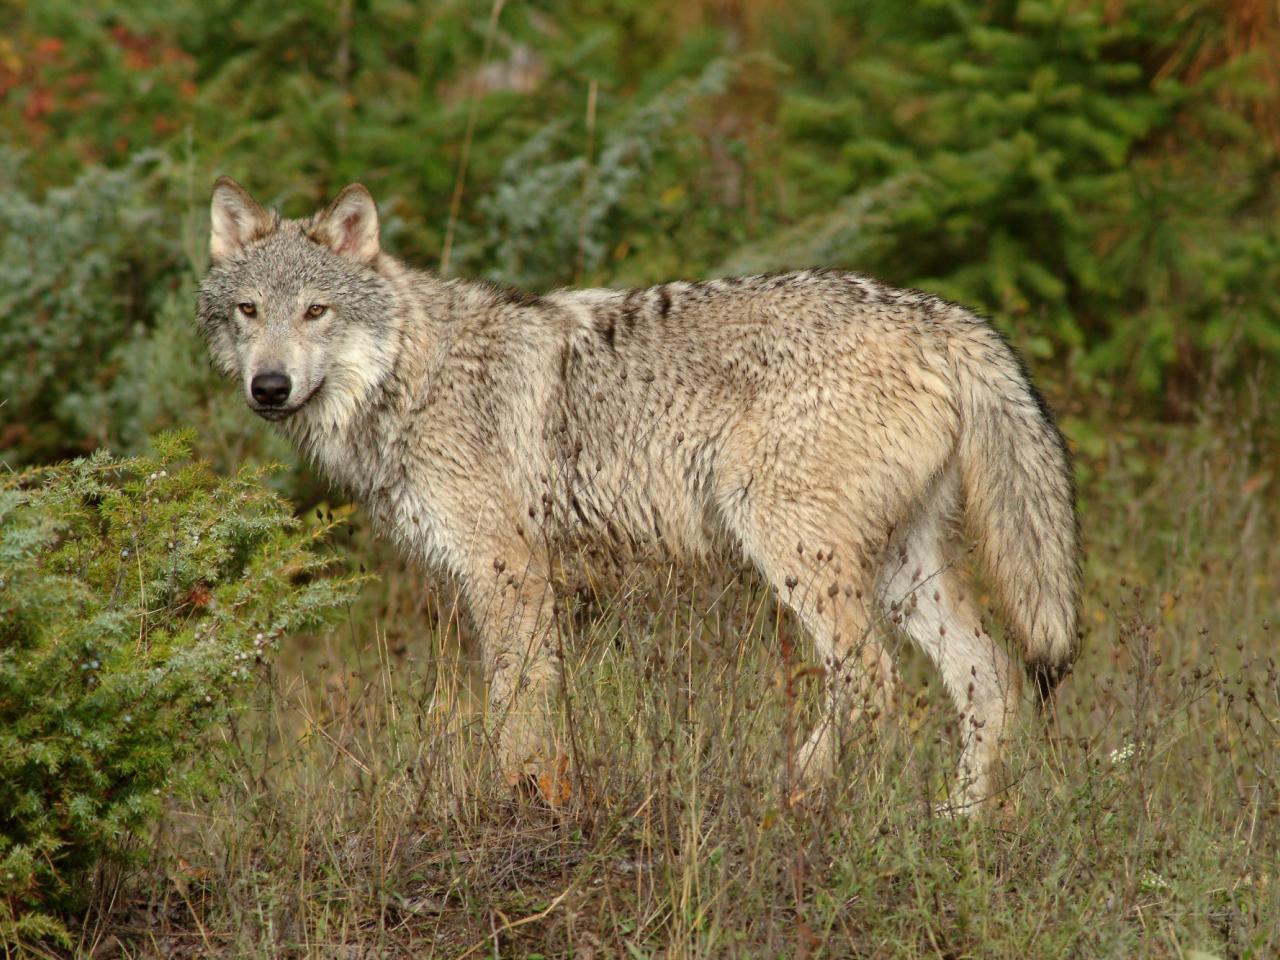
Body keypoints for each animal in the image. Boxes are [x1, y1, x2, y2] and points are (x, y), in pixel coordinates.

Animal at [197, 179, 1080, 814]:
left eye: (317, 311)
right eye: (249, 312)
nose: (268, 387)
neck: (413, 376)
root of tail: (942, 315)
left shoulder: (509, 574)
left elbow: (514, 714)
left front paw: (519, 808)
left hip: (794, 550)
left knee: (871, 680)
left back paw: (799, 790)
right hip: (902, 573)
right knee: (991, 680)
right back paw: (955, 832)